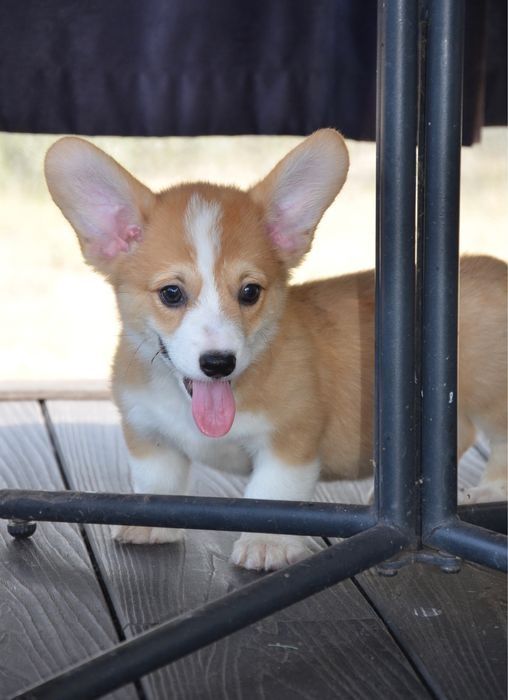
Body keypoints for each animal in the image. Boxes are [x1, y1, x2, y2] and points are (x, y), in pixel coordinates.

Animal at [44, 130, 508, 568]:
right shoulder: (147, 433)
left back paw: (486, 491)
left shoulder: (290, 440)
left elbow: (271, 496)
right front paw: (150, 523)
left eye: (249, 292)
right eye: (171, 293)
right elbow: (156, 482)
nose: (218, 364)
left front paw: (266, 545)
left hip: (493, 398)